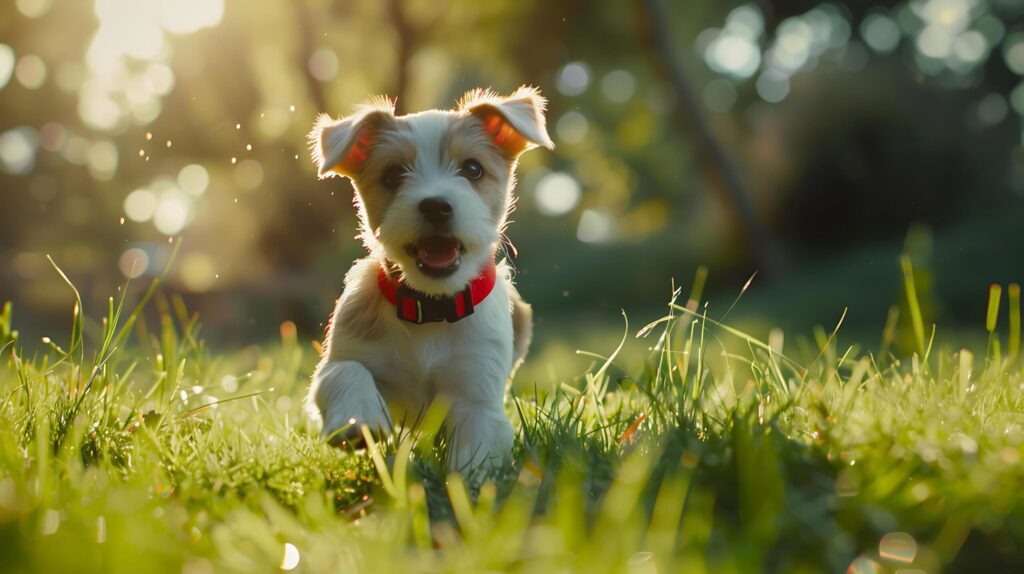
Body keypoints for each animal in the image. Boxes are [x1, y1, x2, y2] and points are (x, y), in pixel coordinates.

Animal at [305, 84, 552, 470]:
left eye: (472, 168)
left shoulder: (476, 395)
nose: (436, 206)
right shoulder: (339, 359)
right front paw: (358, 419)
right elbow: (345, 371)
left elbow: (473, 454)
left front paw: (466, 483)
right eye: (393, 175)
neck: (431, 307)